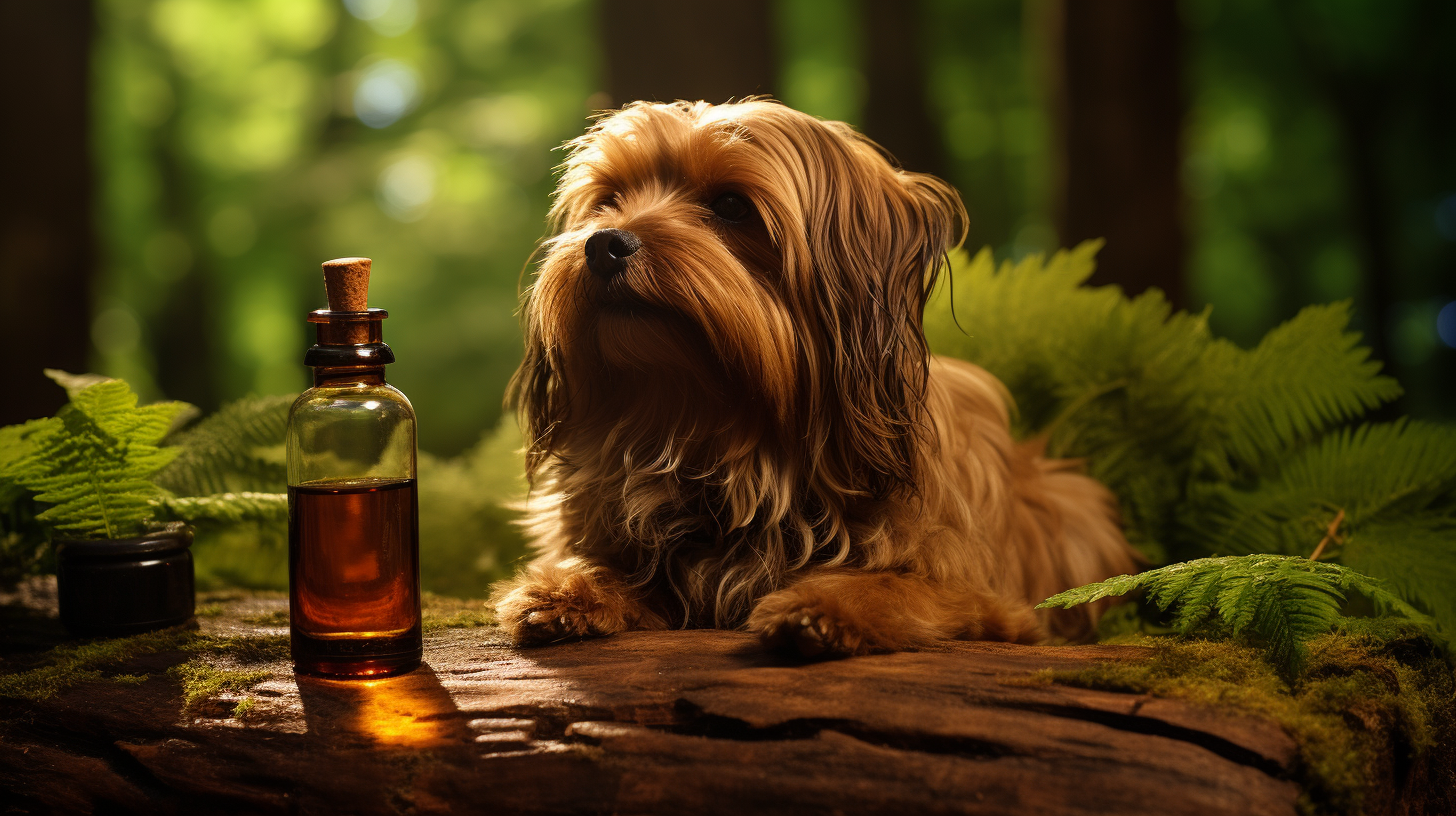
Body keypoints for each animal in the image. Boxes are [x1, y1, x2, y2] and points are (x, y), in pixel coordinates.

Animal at [495, 99, 1141, 655]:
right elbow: (620, 569)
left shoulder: (986, 598)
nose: (603, 244)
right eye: (609, 200)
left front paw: (827, 605)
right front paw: (566, 588)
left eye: (731, 206)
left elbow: (899, 584)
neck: (712, 427)